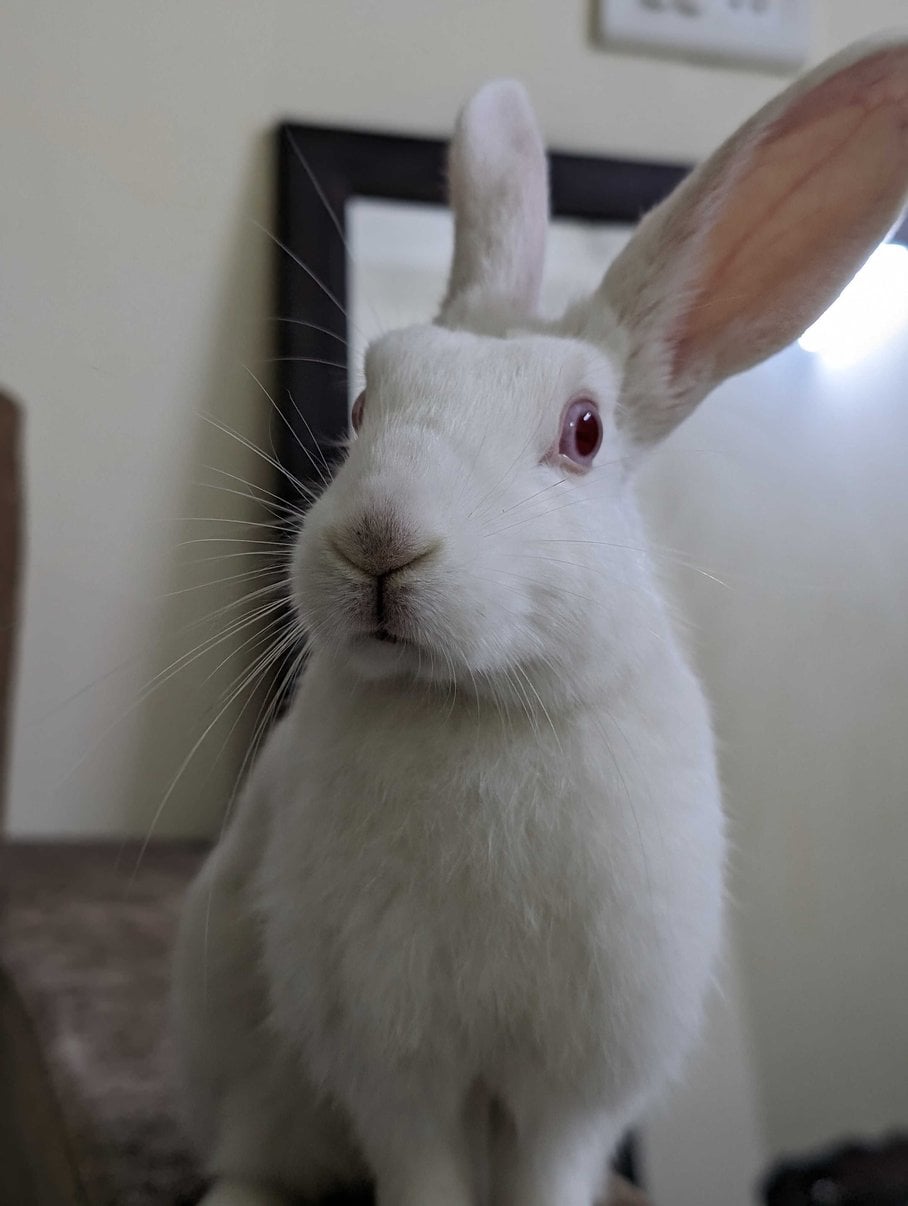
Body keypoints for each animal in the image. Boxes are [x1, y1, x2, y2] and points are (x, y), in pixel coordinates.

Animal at [172, 35, 908, 1206]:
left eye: (584, 431)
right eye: (363, 405)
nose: (380, 540)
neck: (475, 704)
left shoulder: (577, 1082)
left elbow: (549, 1172)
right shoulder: (394, 1061)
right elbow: (418, 1168)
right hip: (252, 1076)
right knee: (256, 1157)